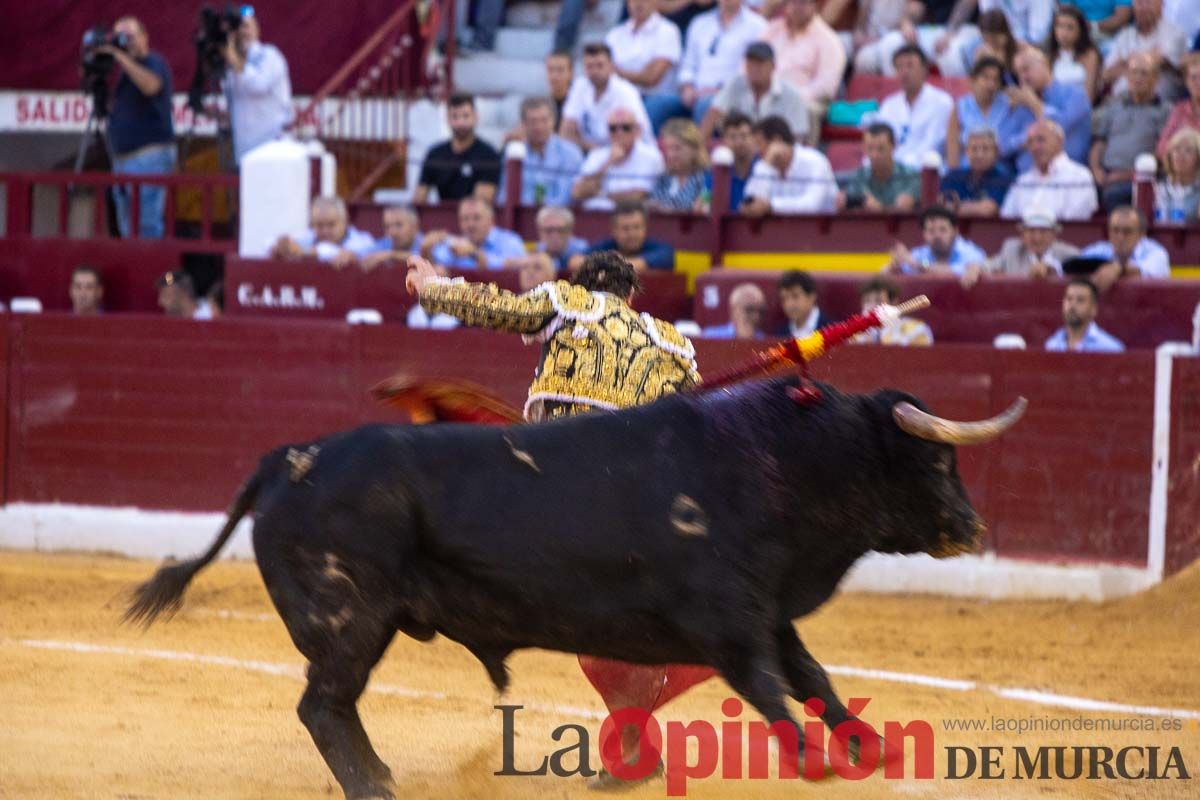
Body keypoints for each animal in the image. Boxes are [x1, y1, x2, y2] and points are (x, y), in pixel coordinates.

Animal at [129, 379, 1022, 796]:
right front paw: (814, 762)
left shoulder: (766, 610)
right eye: (936, 459)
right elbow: (771, 686)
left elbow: (813, 676)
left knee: (333, 708)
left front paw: (870, 747)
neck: (784, 462)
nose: (973, 526)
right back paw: (374, 784)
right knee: (322, 707)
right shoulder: (730, 620)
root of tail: (289, 458)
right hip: (351, 616)